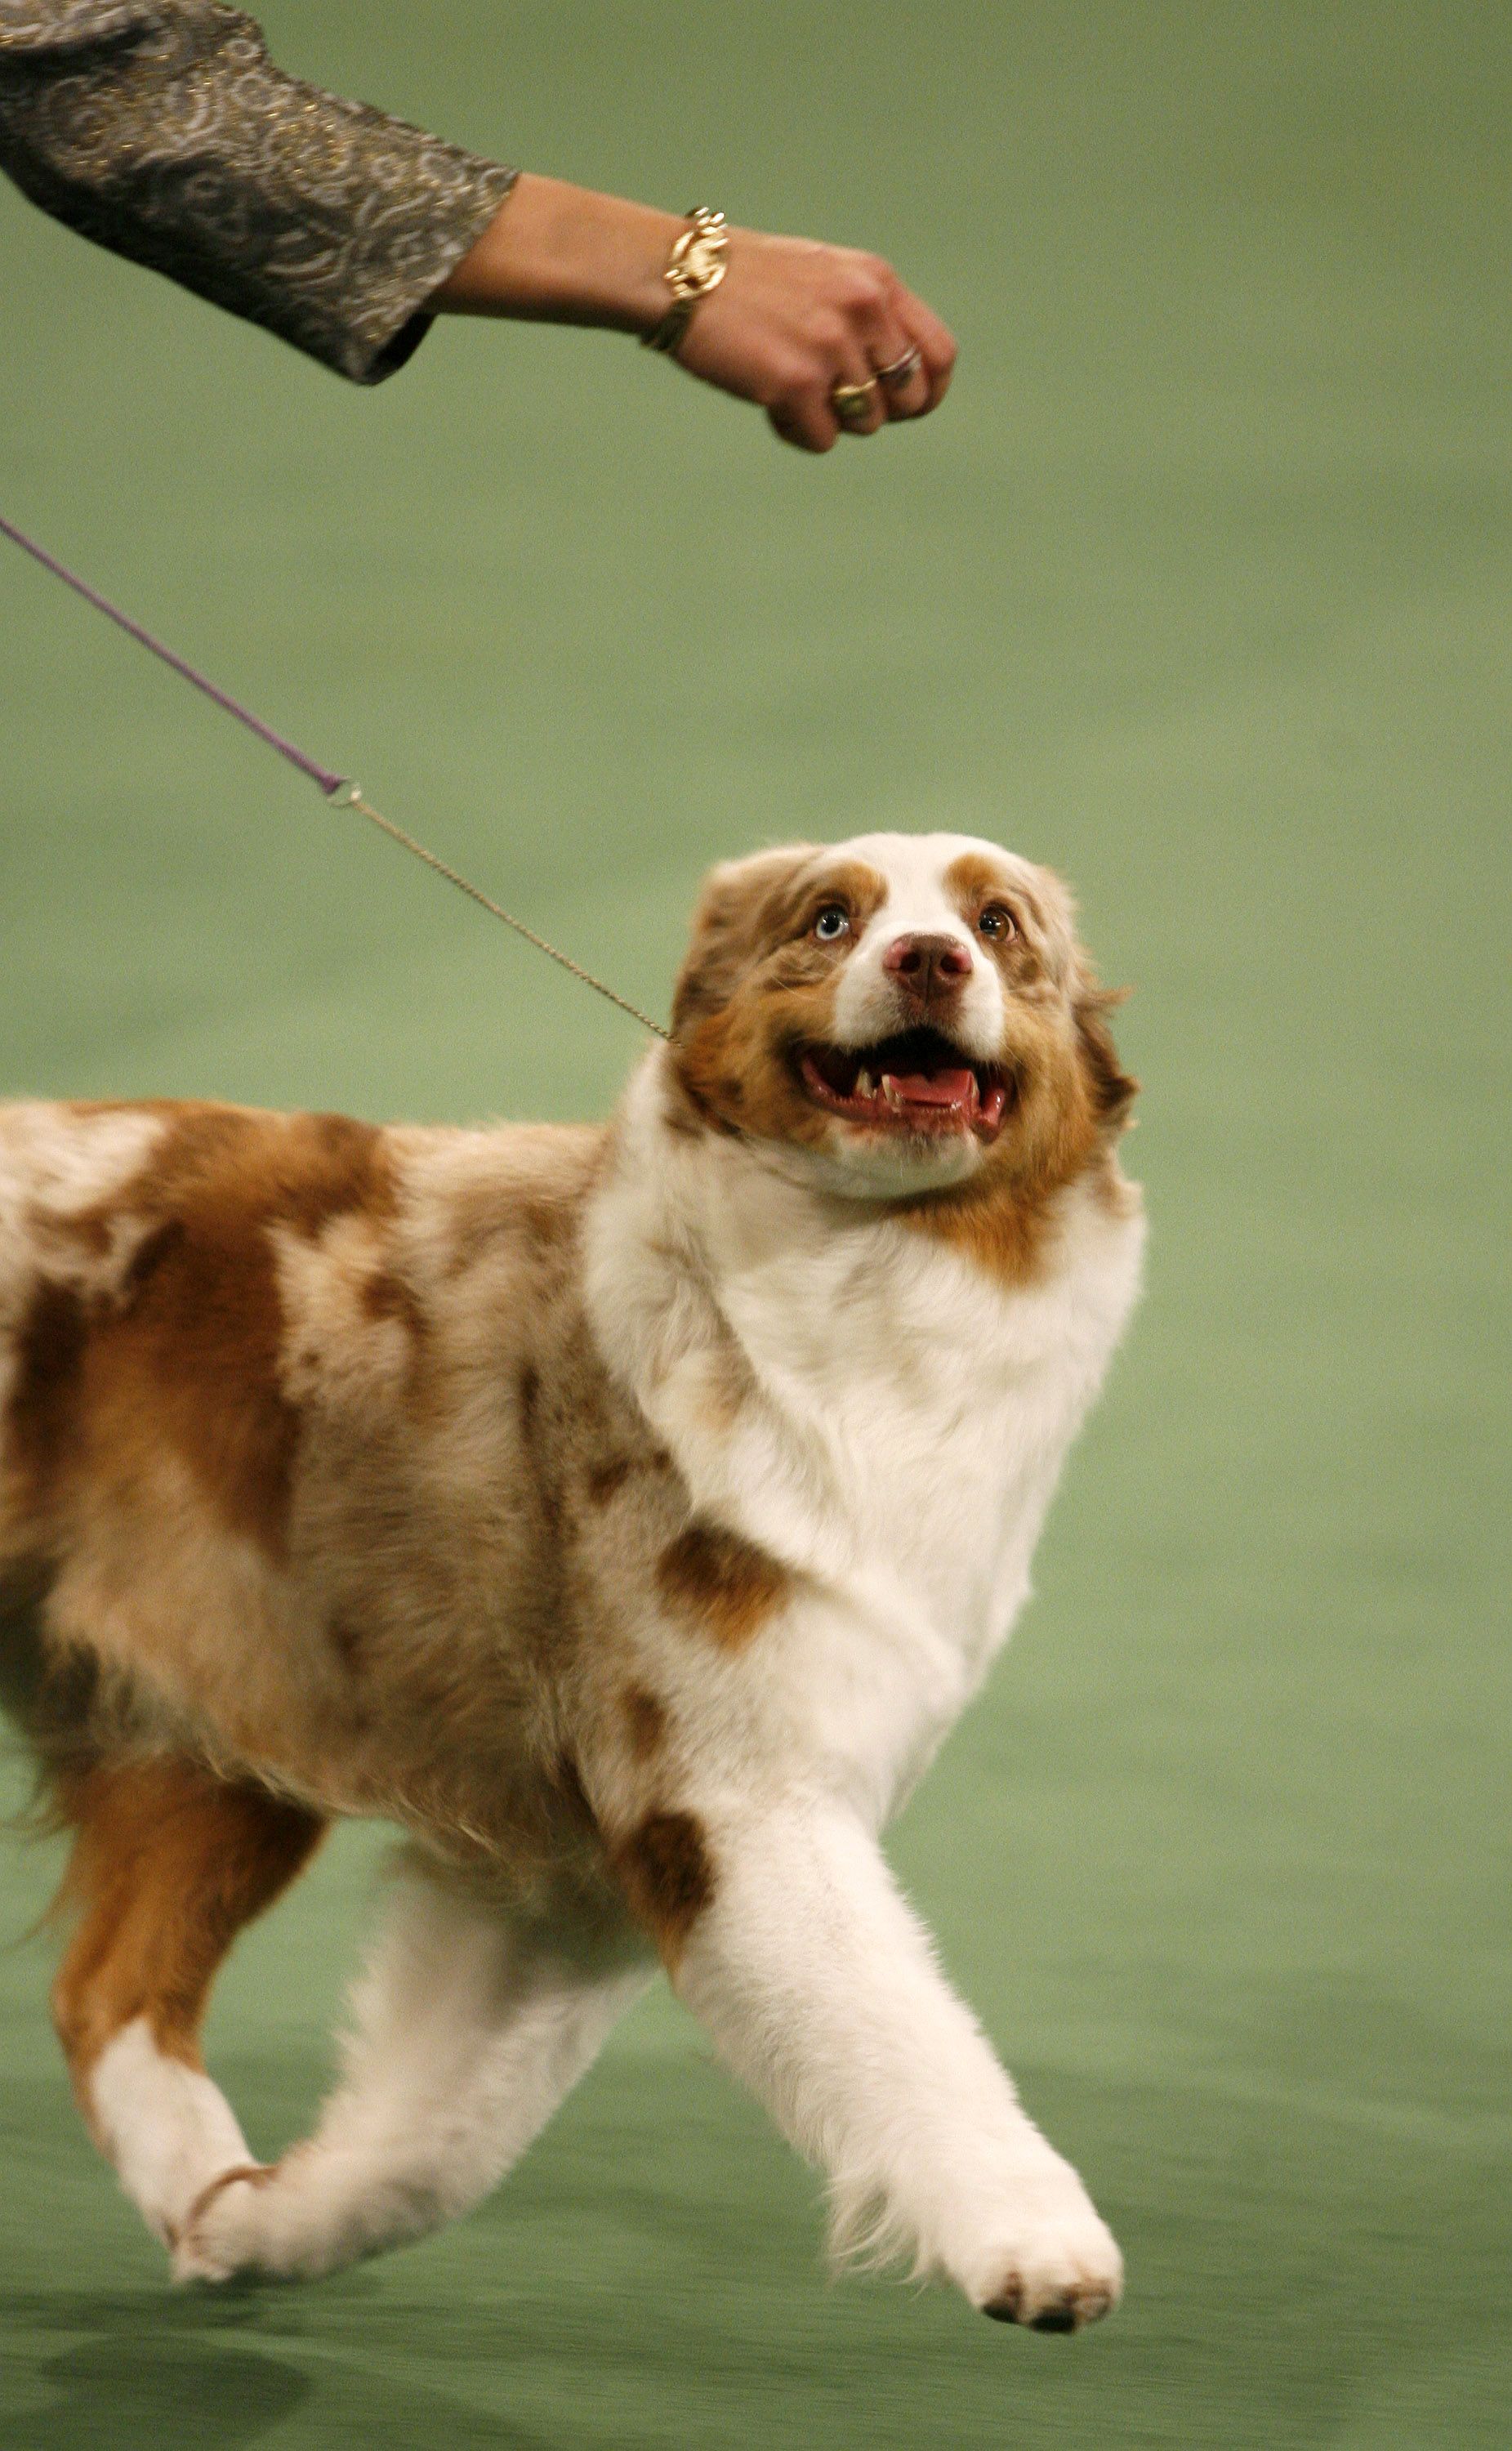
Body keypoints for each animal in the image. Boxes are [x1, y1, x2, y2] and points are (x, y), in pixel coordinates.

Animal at [0, 833, 1132, 2324]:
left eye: (997, 926)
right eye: (832, 919)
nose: (929, 959)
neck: (872, 1267)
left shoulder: (563, 1874)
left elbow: (439, 2143)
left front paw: (267, 2223)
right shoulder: (720, 1792)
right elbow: (902, 2024)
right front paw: (1036, 2241)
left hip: (212, 1723)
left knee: (108, 1987)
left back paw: (202, 2189)